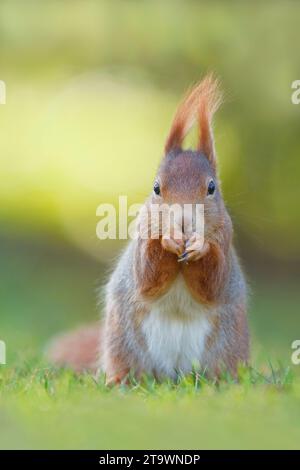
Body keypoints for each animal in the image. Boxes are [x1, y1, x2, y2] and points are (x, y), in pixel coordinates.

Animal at [48, 75, 248, 386]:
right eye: (156, 187)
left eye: (211, 187)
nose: (183, 222)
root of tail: (173, 375)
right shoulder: (142, 237)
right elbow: (147, 275)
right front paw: (167, 239)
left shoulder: (225, 239)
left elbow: (213, 284)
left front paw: (200, 246)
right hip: (123, 345)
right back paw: (117, 381)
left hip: (227, 350)